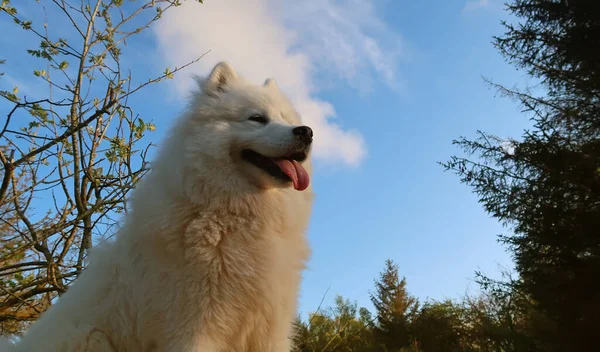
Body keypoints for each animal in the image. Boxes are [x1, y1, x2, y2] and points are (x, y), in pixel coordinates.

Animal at [3, 62, 314, 350]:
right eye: (257, 118)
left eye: (286, 119)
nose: (306, 132)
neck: (237, 214)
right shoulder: (194, 329)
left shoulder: (270, 329)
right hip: (88, 337)